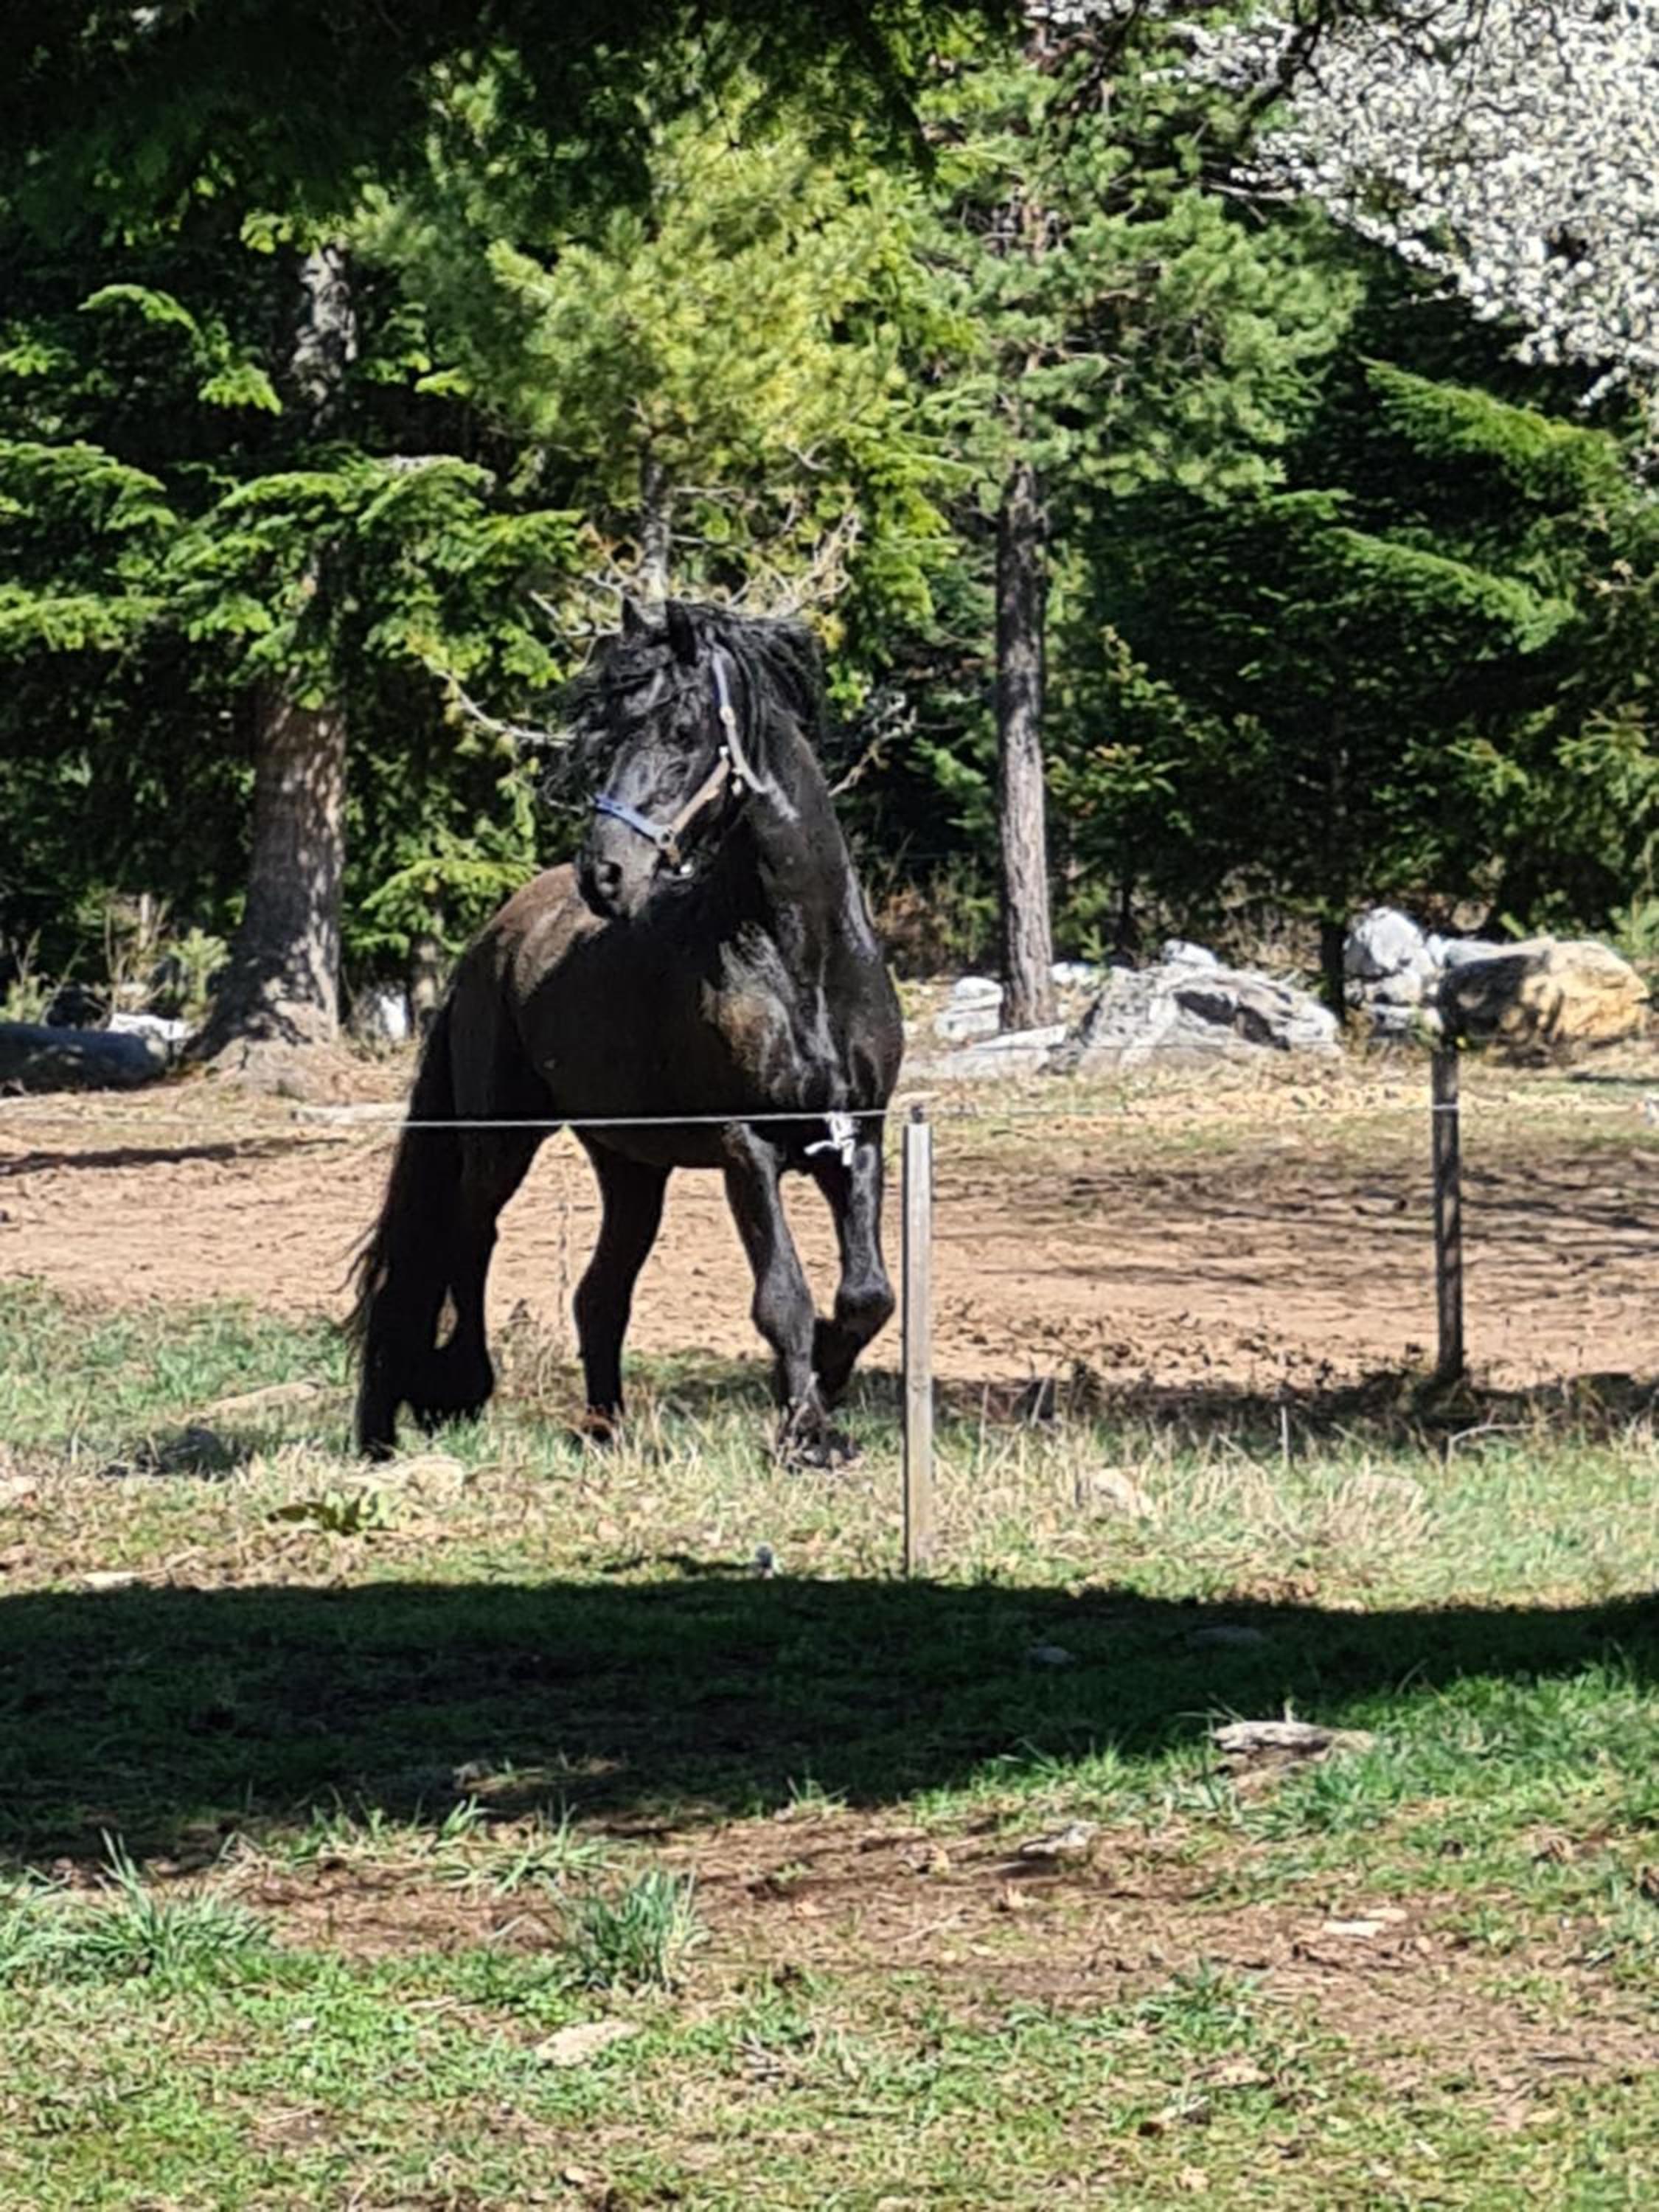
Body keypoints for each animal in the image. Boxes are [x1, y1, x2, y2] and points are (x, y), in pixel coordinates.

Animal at [350, 599, 905, 1466]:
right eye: (607, 736)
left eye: (681, 729)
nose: (604, 874)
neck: (804, 962)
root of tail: (495, 939)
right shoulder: (747, 1146)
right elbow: (782, 1294)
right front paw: (806, 1432)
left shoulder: (858, 1137)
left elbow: (867, 1296)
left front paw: (823, 1386)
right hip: (499, 1140)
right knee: (461, 1243)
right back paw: (445, 1394)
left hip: (632, 1167)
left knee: (597, 1294)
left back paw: (606, 1426)